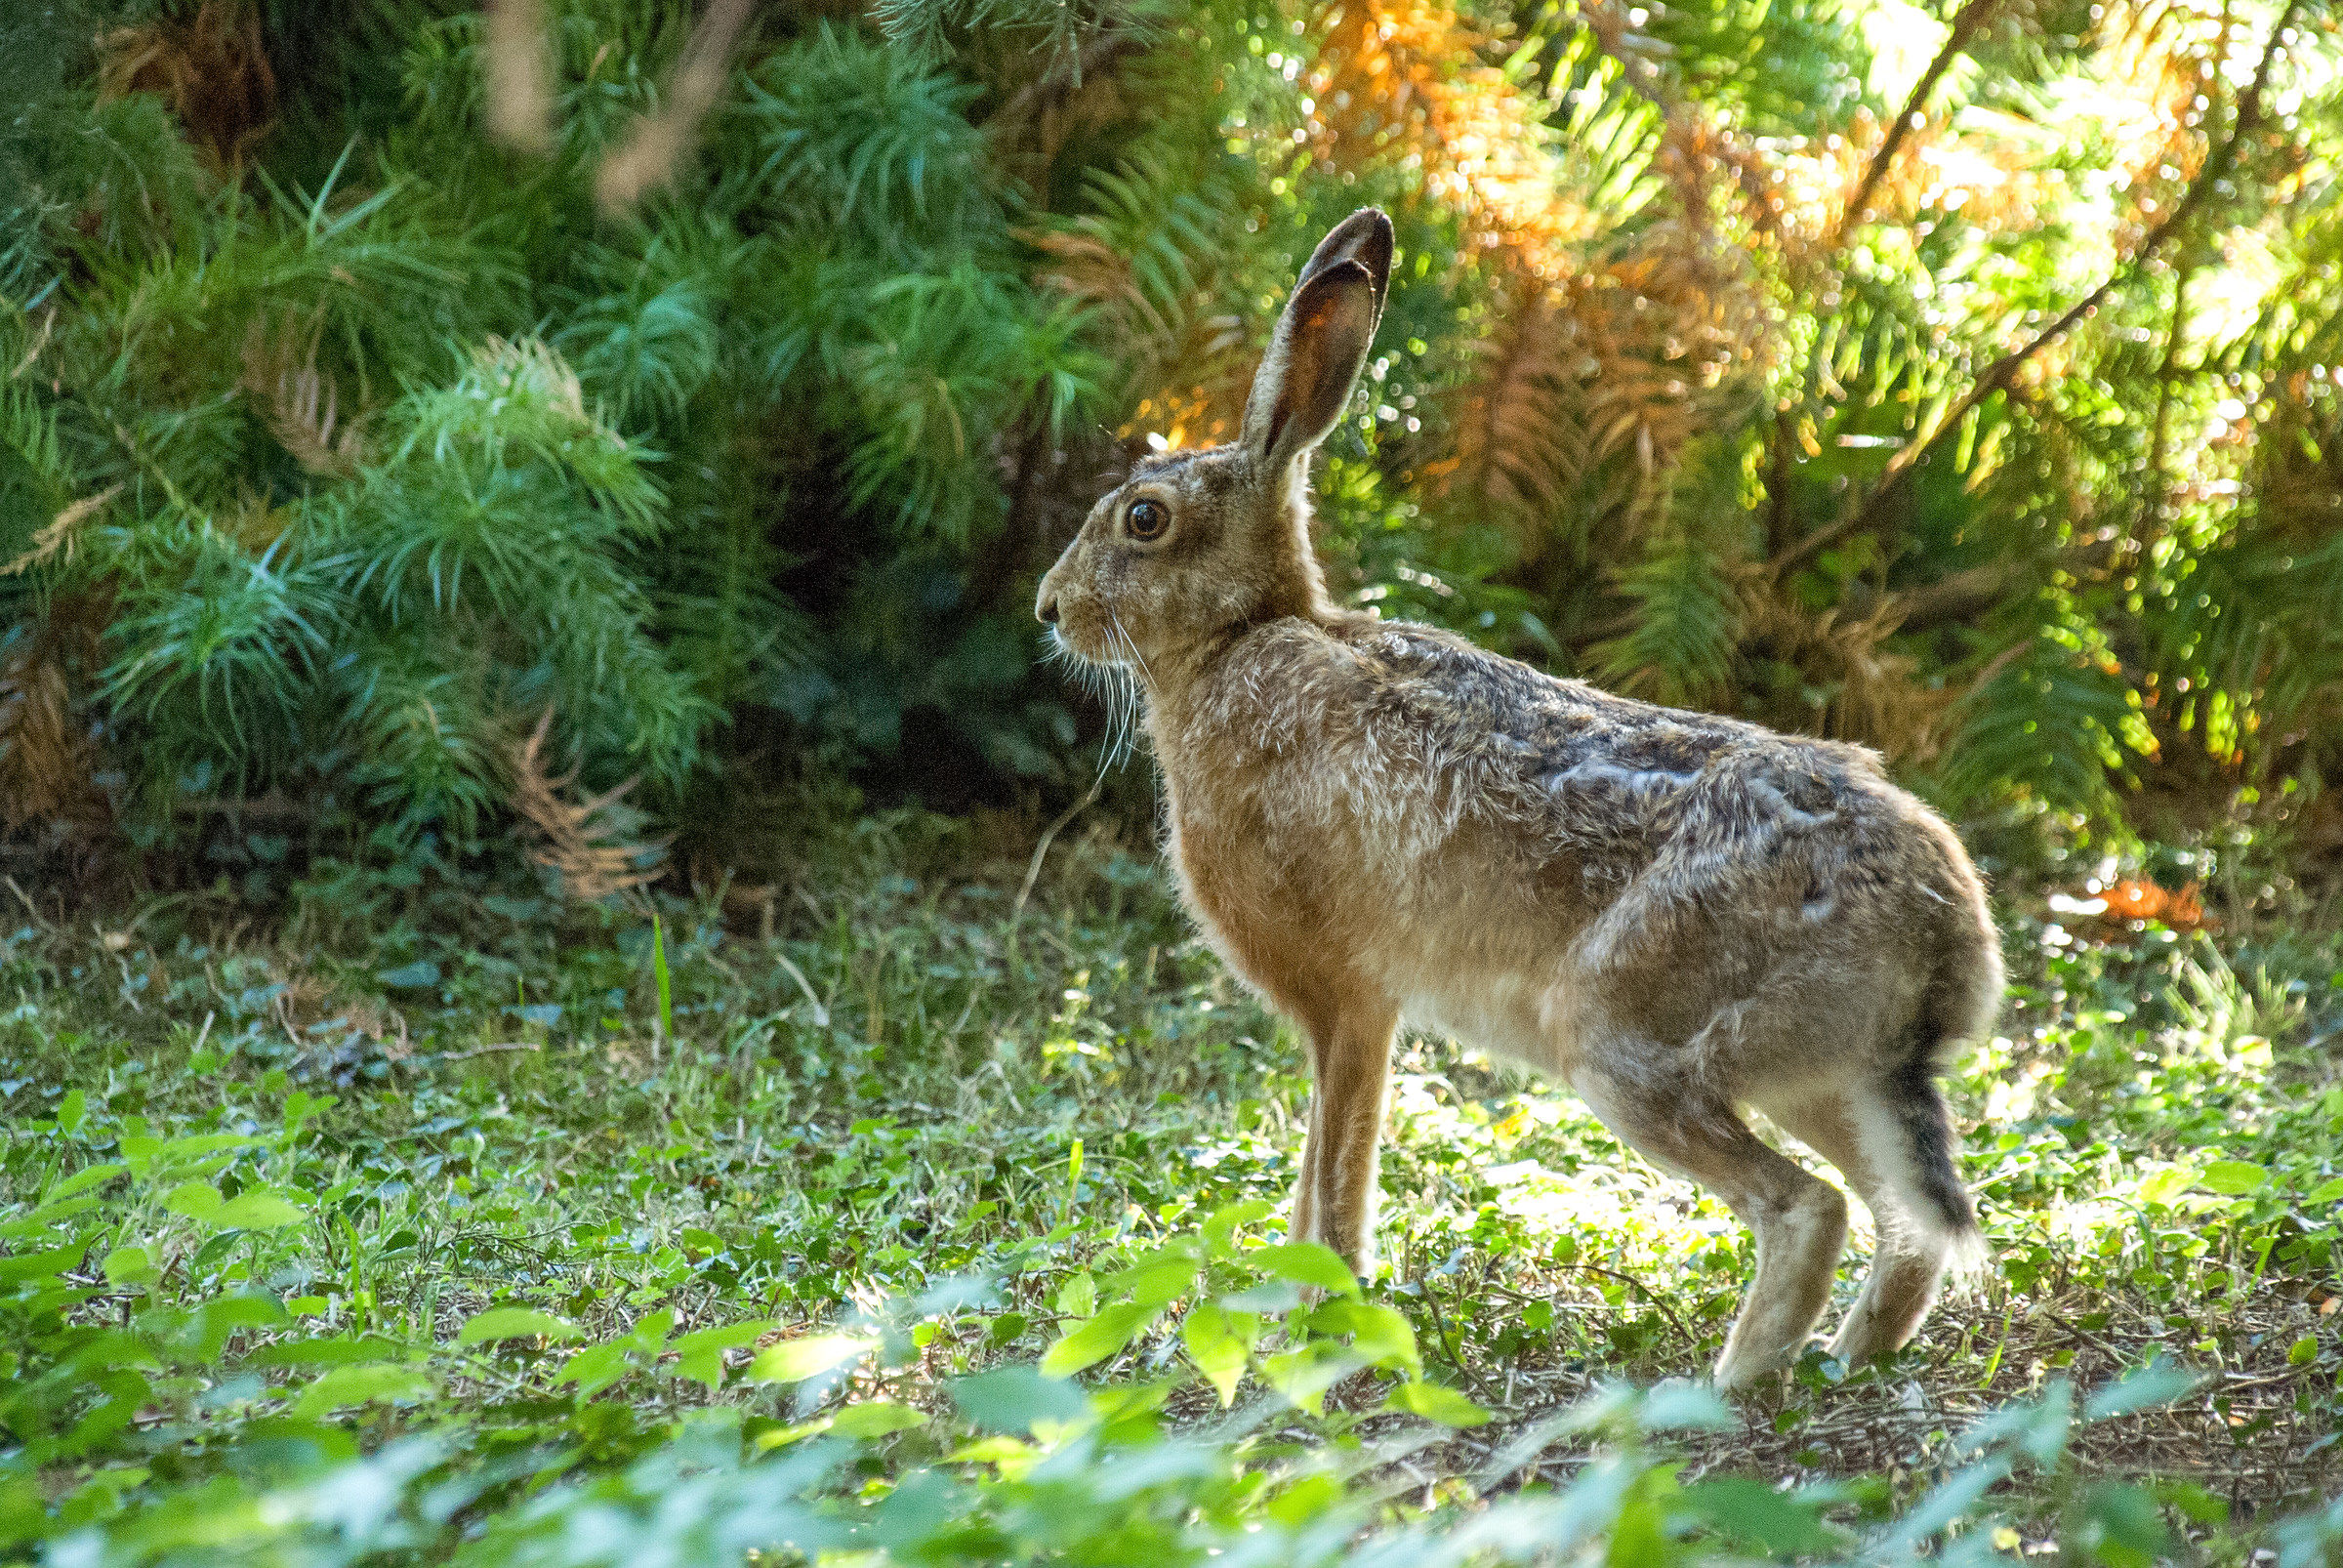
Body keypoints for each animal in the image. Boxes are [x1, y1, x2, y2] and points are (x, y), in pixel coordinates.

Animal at [1034, 208, 2002, 1390]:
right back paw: (1846, 1357)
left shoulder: (1348, 999)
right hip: (1826, 1077)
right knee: (1908, 1227)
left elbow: (1335, 1158)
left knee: (1807, 1208)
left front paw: (1321, 1309)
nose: (1050, 608)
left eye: (1144, 519)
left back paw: (1731, 1380)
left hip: (1627, 1042)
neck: (1240, 636)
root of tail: (1941, 932)